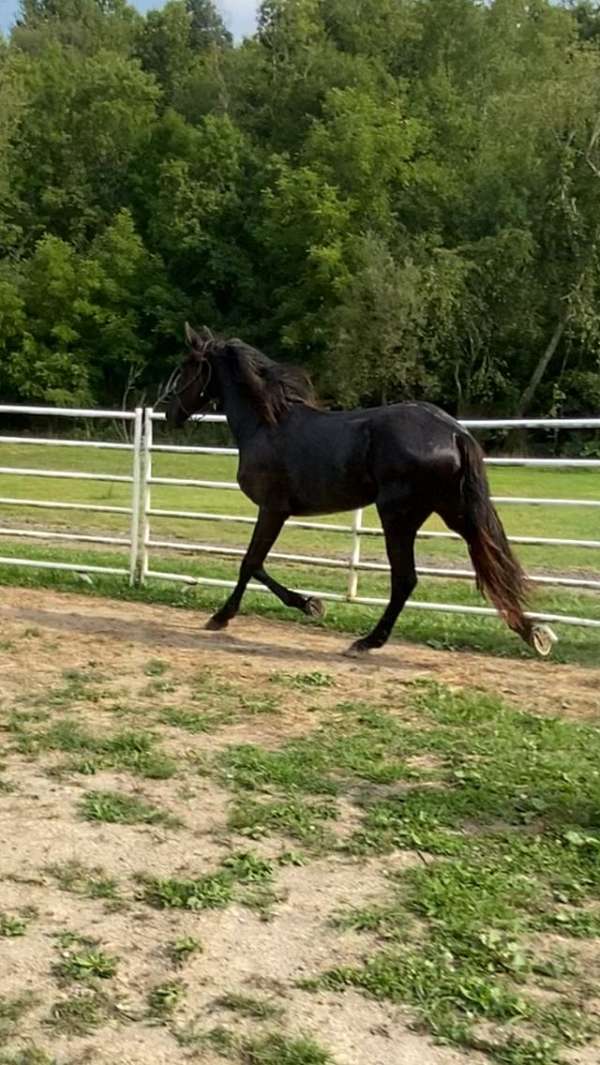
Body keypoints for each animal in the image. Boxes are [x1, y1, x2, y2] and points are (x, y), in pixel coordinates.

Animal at [166, 323, 558, 656]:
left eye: (186, 367)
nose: (168, 412)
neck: (267, 425)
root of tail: (453, 432)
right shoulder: (277, 511)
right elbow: (256, 564)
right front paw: (310, 604)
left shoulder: (273, 509)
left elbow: (250, 563)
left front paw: (228, 616)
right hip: (454, 511)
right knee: (492, 564)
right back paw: (532, 631)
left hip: (398, 516)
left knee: (405, 579)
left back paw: (368, 641)